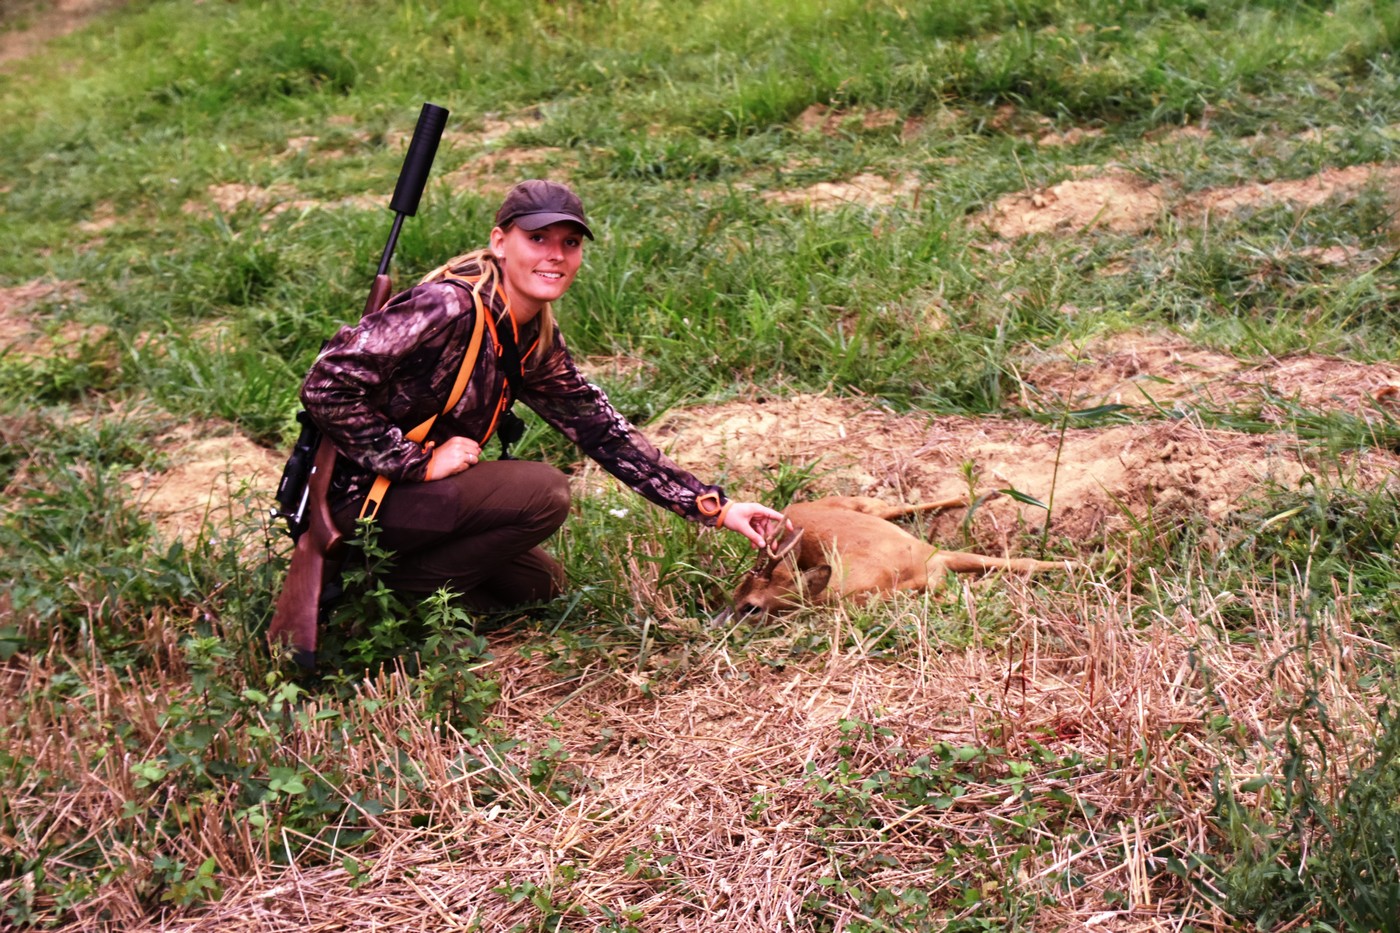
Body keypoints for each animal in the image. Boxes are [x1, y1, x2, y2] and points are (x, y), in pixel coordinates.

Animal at [722, 493, 1069, 616]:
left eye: (750, 607)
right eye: (734, 592)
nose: (718, 623)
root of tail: (790, 508)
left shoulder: (936, 555)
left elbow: (1024, 561)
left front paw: (1076, 565)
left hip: (857, 504)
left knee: (893, 506)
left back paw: (981, 493)